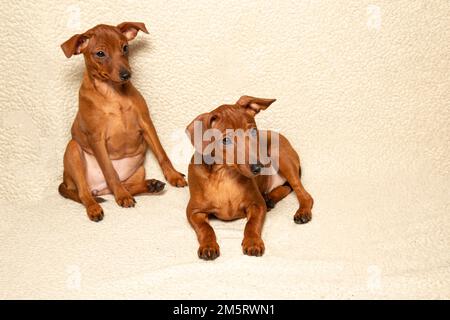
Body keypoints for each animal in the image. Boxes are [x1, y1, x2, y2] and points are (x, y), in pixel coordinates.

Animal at [59, 22, 186, 221]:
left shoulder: (146, 124)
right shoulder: (96, 139)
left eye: (125, 48)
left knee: (124, 186)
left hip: (139, 169)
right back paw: (96, 206)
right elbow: (110, 172)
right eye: (100, 53)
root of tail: (98, 188)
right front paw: (122, 197)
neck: (113, 93)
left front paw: (173, 176)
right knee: (84, 193)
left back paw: (150, 185)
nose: (127, 75)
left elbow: (162, 154)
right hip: (73, 150)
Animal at [185, 95, 312, 260]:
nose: (258, 168)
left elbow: (251, 225)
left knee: (302, 192)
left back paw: (302, 211)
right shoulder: (193, 211)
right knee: (286, 187)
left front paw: (252, 242)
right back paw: (270, 198)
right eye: (225, 140)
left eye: (252, 132)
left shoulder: (256, 204)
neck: (224, 175)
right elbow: (205, 228)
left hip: (280, 156)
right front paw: (208, 245)